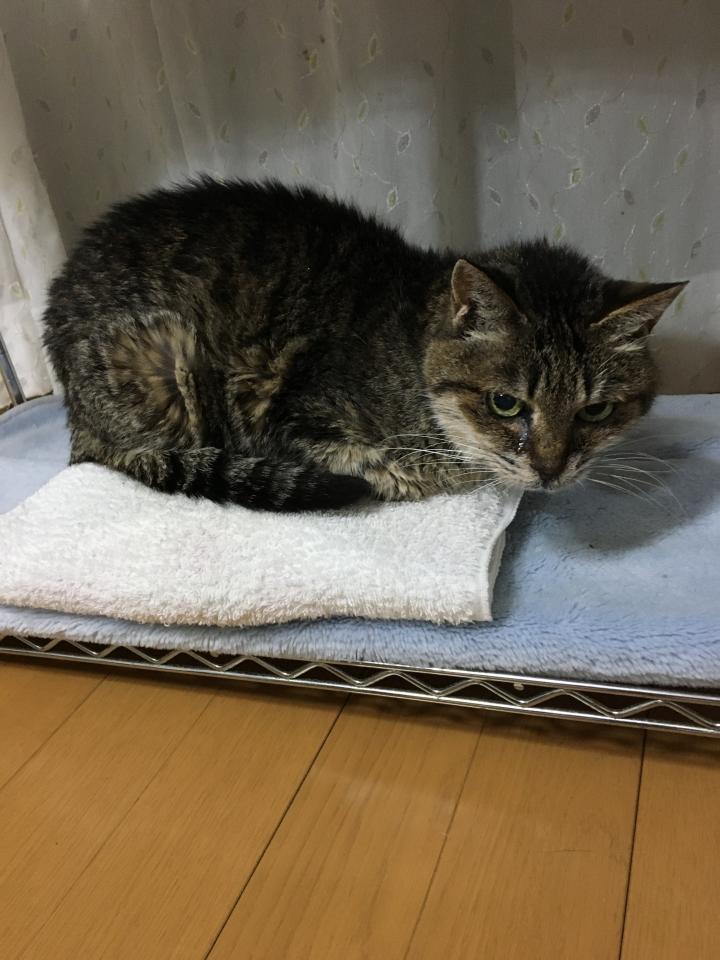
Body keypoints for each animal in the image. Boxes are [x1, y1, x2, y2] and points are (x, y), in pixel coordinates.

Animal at [43, 177, 685, 511]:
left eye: (595, 411)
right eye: (506, 404)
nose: (551, 472)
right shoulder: (290, 415)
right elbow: (377, 468)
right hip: (166, 357)